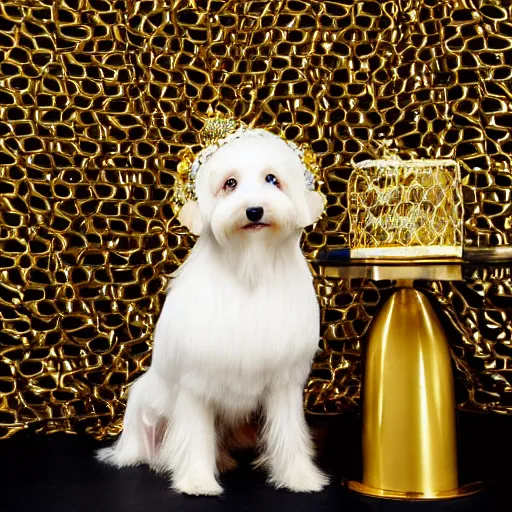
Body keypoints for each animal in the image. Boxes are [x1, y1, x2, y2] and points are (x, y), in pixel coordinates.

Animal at [97, 124, 326, 496]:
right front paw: (197, 481)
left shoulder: (284, 382)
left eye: (272, 179)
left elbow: (288, 433)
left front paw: (299, 477)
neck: (250, 268)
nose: (254, 210)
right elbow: (195, 435)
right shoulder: (196, 383)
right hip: (145, 404)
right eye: (230, 183)